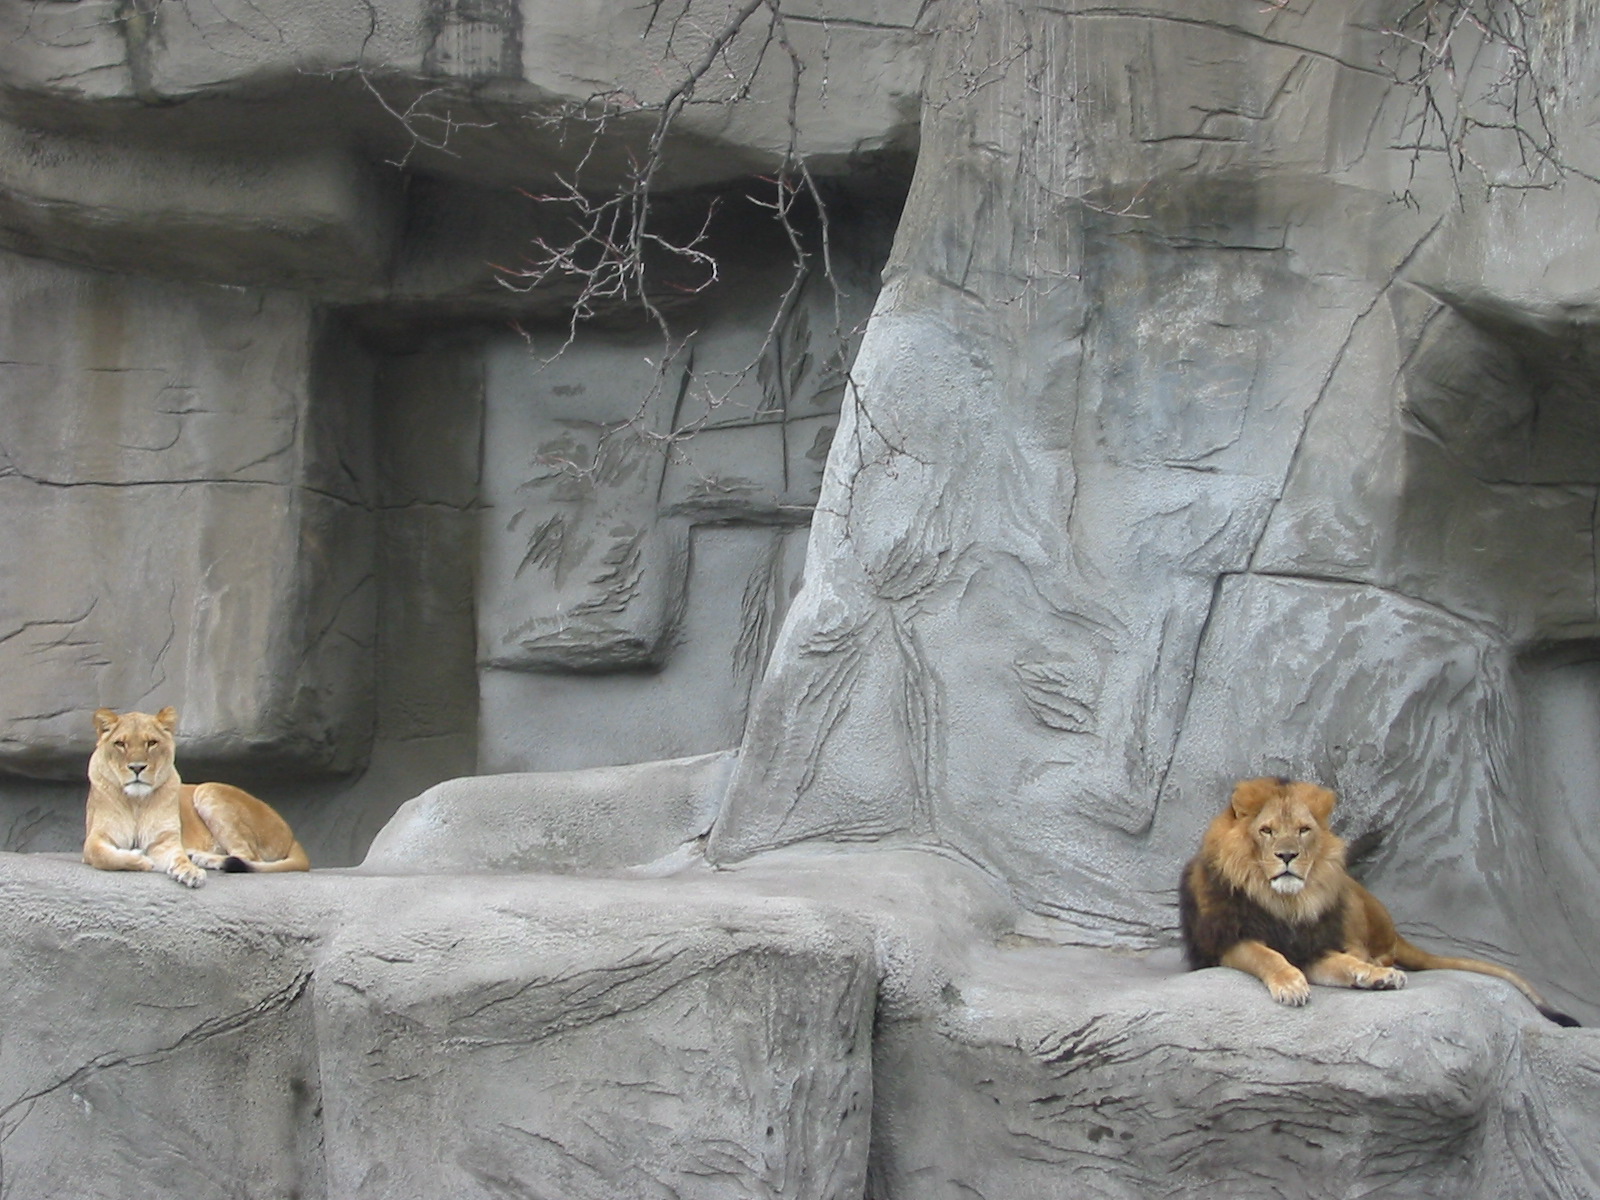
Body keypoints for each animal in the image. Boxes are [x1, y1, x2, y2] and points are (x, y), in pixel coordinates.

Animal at [82, 706, 309, 887]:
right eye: (120, 744)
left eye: (152, 743)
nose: (137, 768)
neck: (136, 801)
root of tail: (291, 836)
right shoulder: (96, 837)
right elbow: (104, 856)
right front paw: (140, 858)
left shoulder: (166, 840)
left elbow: (178, 857)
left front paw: (190, 871)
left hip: (207, 790)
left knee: (251, 857)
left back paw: (201, 858)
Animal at [1178, 776, 1578, 1026]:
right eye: (1266, 831)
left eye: (1304, 830)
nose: (1288, 855)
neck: (1285, 902)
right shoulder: (1224, 941)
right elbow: (1267, 955)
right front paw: (1291, 985)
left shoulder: (1312, 945)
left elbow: (1341, 961)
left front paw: (1372, 974)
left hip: (1349, 896)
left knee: (1372, 951)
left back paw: (1377, 971)